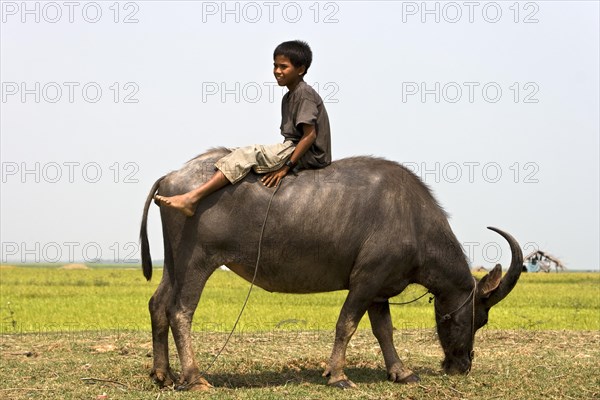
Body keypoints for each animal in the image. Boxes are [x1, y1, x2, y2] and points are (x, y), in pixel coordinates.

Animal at [139, 147, 520, 390]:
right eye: (479, 319)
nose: (462, 365)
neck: (412, 220)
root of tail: (171, 179)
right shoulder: (365, 282)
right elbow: (346, 325)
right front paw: (337, 375)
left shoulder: (380, 290)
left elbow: (385, 331)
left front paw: (401, 372)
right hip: (197, 262)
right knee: (180, 311)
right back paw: (194, 377)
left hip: (174, 263)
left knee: (158, 304)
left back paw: (162, 375)